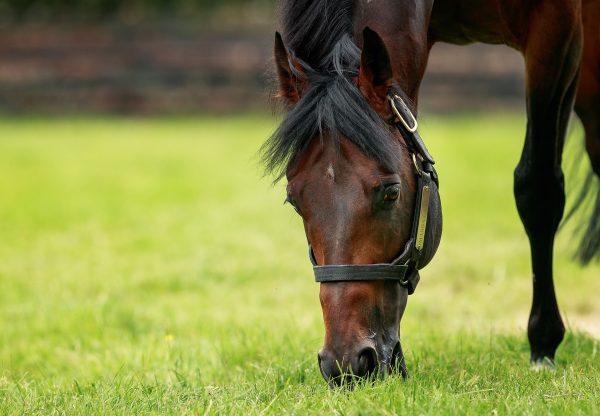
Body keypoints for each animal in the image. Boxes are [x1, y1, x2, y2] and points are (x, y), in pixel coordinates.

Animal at [262, 0, 600, 386]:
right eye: (294, 201)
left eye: (391, 193)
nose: (347, 363)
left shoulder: (556, 33)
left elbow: (538, 188)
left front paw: (543, 344)